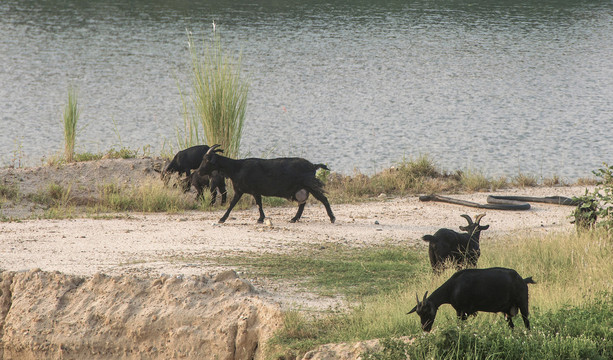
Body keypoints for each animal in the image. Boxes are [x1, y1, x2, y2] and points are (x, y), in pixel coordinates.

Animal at [406, 268, 536, 332]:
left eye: (428, 312)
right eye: (418, 314)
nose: (425, 329)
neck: (453, 287)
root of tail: (523, 280)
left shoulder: (463, 312)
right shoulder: (460, 311)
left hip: (523, 304)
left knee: (527, 323)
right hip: (507, 311)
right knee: (511, 326)